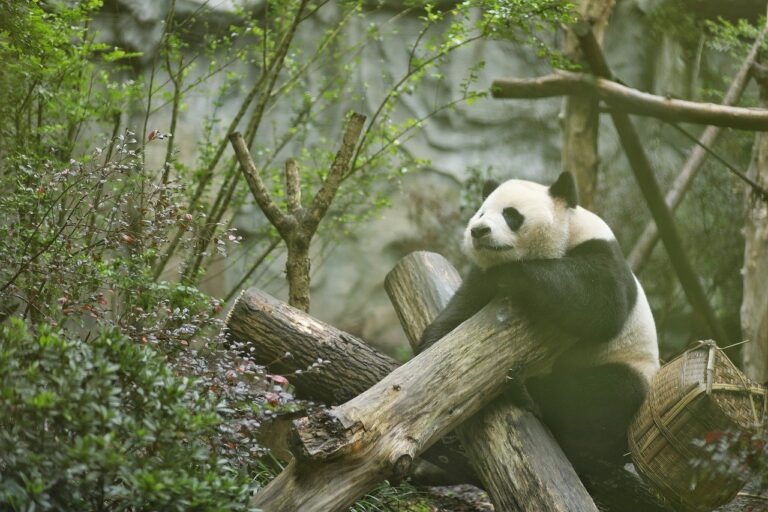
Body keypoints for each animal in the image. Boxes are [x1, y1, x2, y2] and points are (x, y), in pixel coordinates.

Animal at [420, 172, 661, 507]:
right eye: (481, 212)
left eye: (511, 214)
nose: (478, 231)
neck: (561, 241)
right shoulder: (480, 279)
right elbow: (459, 315)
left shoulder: (601, 252)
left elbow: (600, 300)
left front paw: (516, 275)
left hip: (630, 366)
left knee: (602, 394)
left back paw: (527, 392)